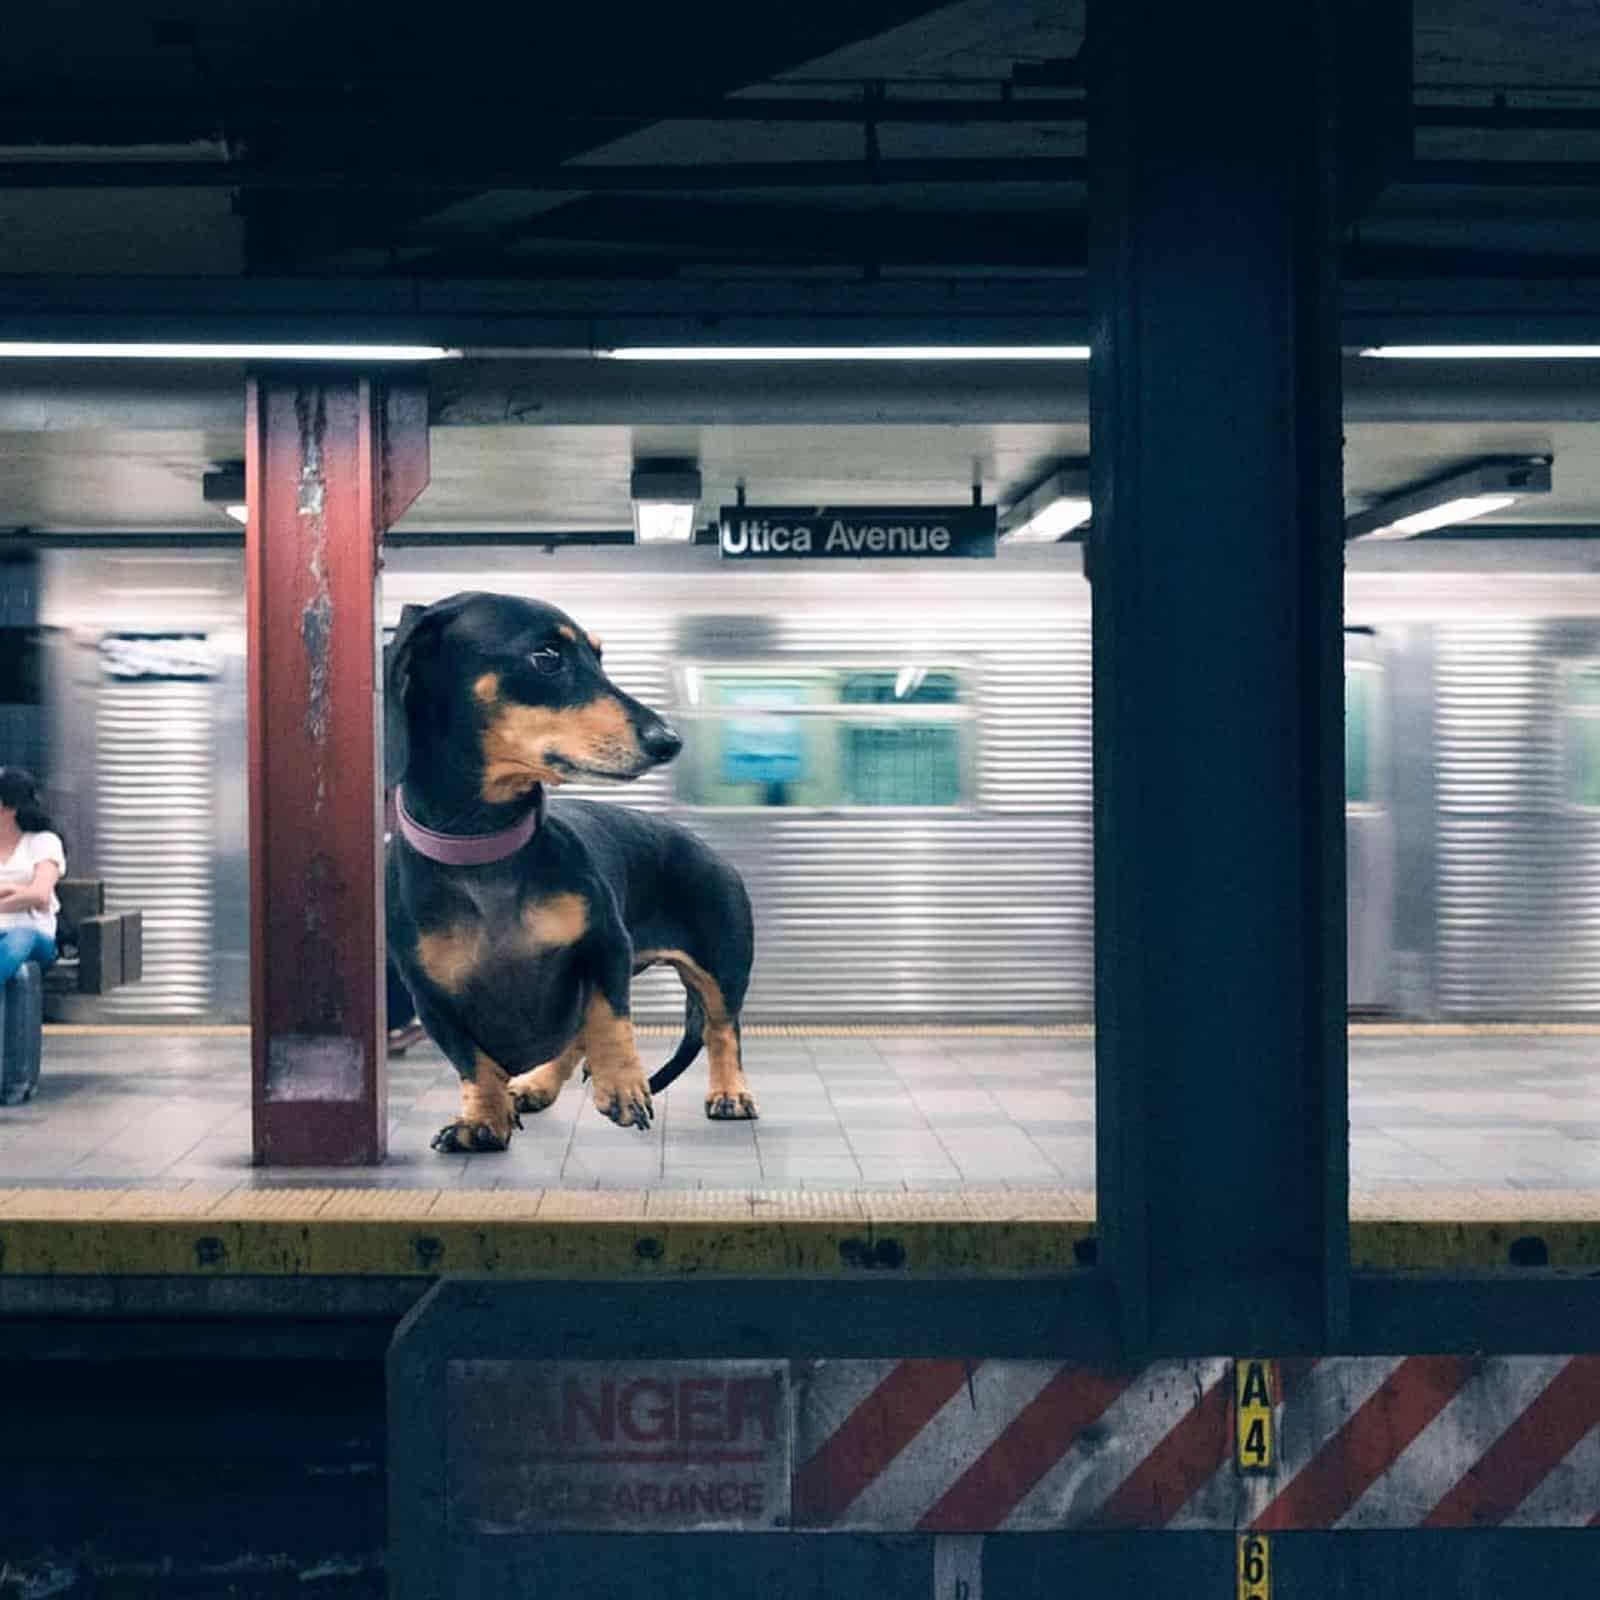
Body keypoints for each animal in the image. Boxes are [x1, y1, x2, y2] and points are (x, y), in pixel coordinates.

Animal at [387, 588, 761, 1152]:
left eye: (599, 657)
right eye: (547, 657)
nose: (669, 740)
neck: (483, 849)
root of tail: (708, 849)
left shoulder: (607, 946)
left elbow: (609, 1018)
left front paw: (623, 1086)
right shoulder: (427, 996)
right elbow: (472, 1061)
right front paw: (482, 1120)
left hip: (722, 966)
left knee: (721, 1030)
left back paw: (729, 1093)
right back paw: (534, 1086)